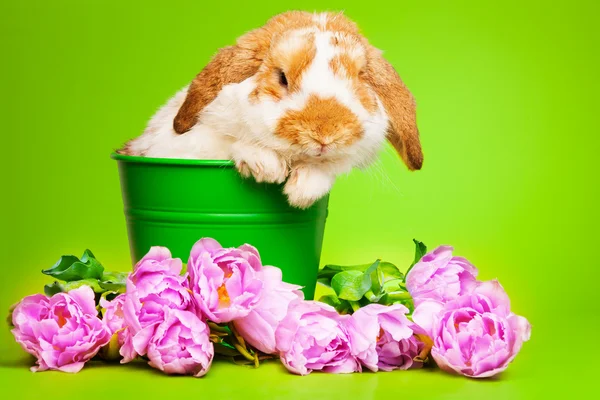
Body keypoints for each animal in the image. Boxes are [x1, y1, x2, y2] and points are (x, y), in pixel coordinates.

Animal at [119, 10, 422, 208]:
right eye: (282, 78)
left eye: (360, 77)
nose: (324, 135)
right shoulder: (185, 146)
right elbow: (229, 141)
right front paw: (267, 168)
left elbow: (325, 168)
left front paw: (302, 192)